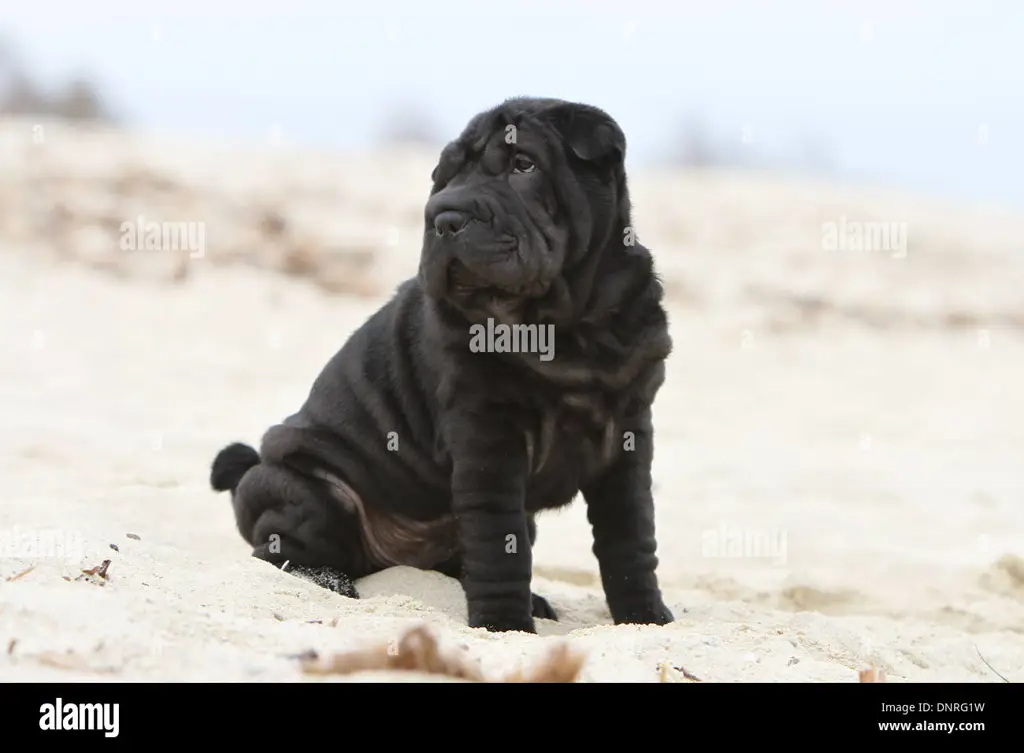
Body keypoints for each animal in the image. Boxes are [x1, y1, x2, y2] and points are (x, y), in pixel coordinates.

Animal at [209, 95, 671, 635]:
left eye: (523, 165)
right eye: (445, 178)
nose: (445, 216)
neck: (567, 328)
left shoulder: (629, 434)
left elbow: (631, 537)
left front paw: (645, 618)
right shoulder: (487, 437)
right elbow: (499, 543)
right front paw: (504, 626)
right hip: (310, 492)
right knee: (280, 550)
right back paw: (328, 580)